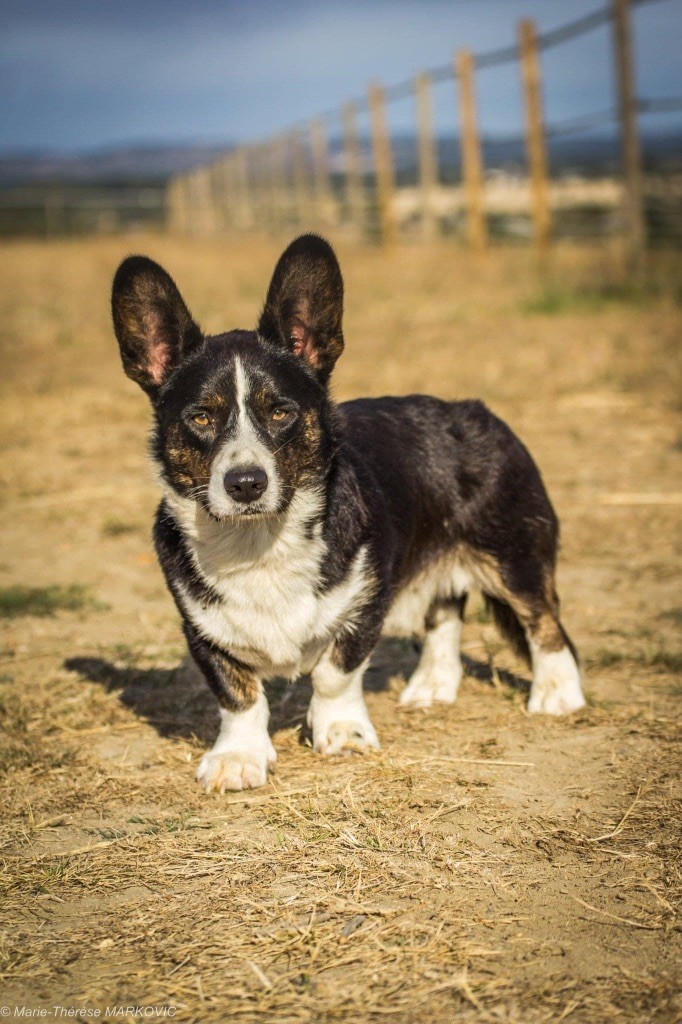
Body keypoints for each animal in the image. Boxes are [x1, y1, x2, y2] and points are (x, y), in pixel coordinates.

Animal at [110, 237, 577, 790]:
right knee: (445, 613)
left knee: (544, 620)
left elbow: (335, 673)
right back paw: (432, 685)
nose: (245, 484)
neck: (259, 542)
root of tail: (480, 411)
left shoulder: (365, 603)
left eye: (281, 412)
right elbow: (238, 695)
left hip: (515, 556)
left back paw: (557, 694)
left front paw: (340, 732)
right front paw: (238, 757)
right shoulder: (203, 629)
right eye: (201, 417)